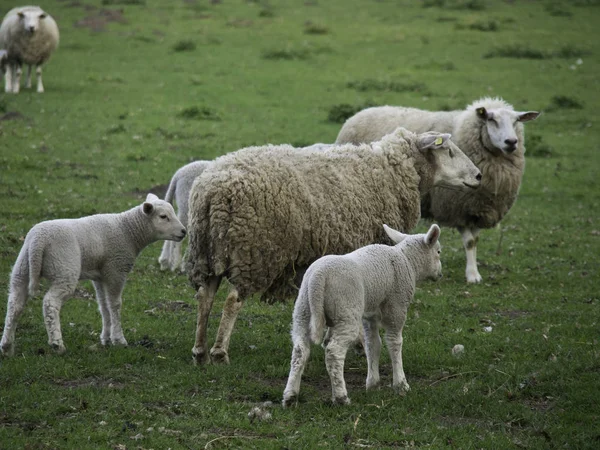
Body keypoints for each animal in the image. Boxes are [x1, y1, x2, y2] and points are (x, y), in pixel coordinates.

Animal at [0, 193, 186, 356]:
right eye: (163, 216)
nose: (184, 231)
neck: (129, 231)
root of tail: (38, 241)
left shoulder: (101, 276)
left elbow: (103, 306)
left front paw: (106, 338)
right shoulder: (116, 269)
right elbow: (115, 305)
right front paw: (119, 339)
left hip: (22, 268)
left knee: (15, 303)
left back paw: (7, 346)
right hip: (64, 268)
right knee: (50, 303)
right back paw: (57, 344)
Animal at [185, 127, 480, 366]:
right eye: (450, 151)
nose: (478, 176)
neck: (390, 171)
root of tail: (212, 190)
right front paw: (358, 342)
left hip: (208, 251)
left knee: (205, 297)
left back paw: (199, 350)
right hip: (254, 252)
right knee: (232, 301)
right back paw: (219, 352)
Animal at [282, 223, 440, 406]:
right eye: (438, 252)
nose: (440, 274)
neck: (408, 261)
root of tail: (318, 277)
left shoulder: (370, 315)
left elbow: (373, 344)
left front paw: (373, 384)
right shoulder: (396, 307)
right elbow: (394, 342)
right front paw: (401, 384)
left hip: (303, 310)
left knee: (300, 351)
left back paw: (291, 396)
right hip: (346, 310)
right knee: (333, 352)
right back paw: (341, 397)